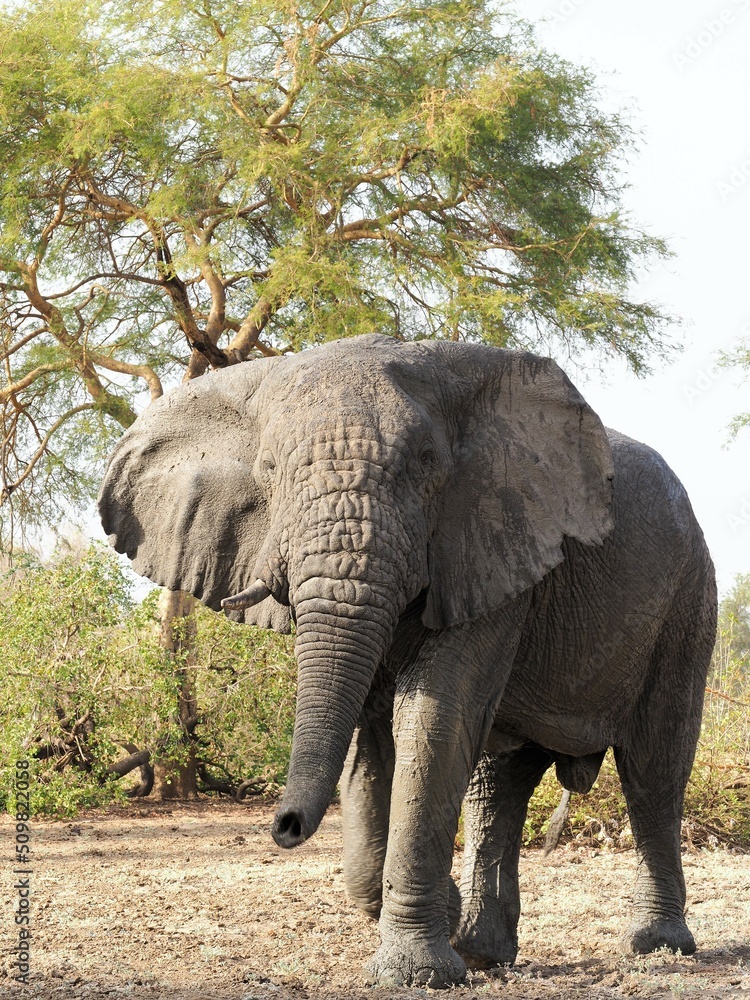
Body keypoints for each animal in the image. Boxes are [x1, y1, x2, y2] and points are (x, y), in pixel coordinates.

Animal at [98, 334, 717, 988]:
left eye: (425, 465)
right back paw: (483, 952)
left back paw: (657, 946)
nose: (284, 826)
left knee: (654, 769)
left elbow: (434, 716)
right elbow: (371, 730)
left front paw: (417, 974)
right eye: (268, 472)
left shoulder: (488, 539)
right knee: (499, 783)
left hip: (688, 599)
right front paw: (441, 926)